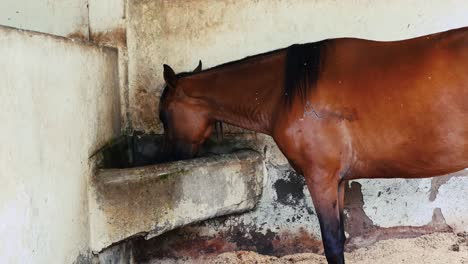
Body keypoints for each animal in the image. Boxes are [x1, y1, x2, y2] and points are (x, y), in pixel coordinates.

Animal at [159, 25, 468, 264]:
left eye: (163, 115)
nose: (174, 156)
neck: (286, 92)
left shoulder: (320, 178)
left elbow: (331, 243)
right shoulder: (338, 181)